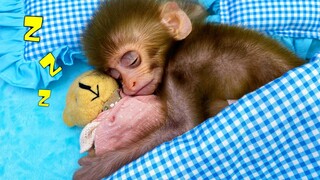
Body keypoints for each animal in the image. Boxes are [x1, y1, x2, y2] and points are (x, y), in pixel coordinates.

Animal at [75, 0, 304, 178]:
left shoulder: (176, 73)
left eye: (131, 59)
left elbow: (183, 128)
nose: (128, 86)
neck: (174, 50)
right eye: (114, 75)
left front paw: (98, 165)